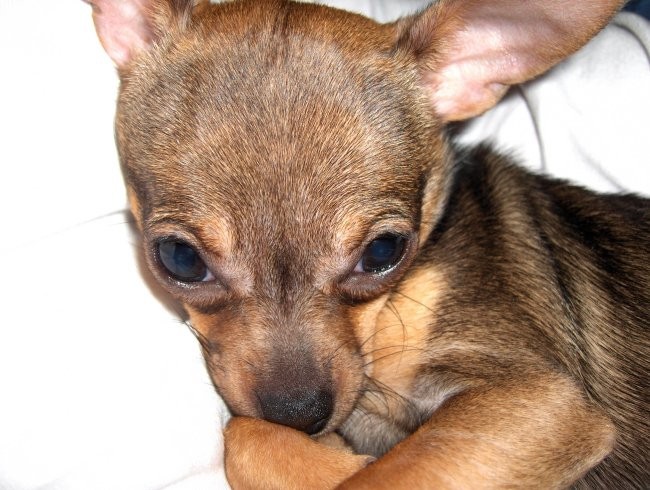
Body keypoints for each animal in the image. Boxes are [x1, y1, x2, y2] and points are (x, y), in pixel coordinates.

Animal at [87, 0, 649, 487]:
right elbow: (245, 433)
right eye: (180, 259)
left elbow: (381, 474)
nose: (299, 413)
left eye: (384, 252)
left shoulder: (541, 399)